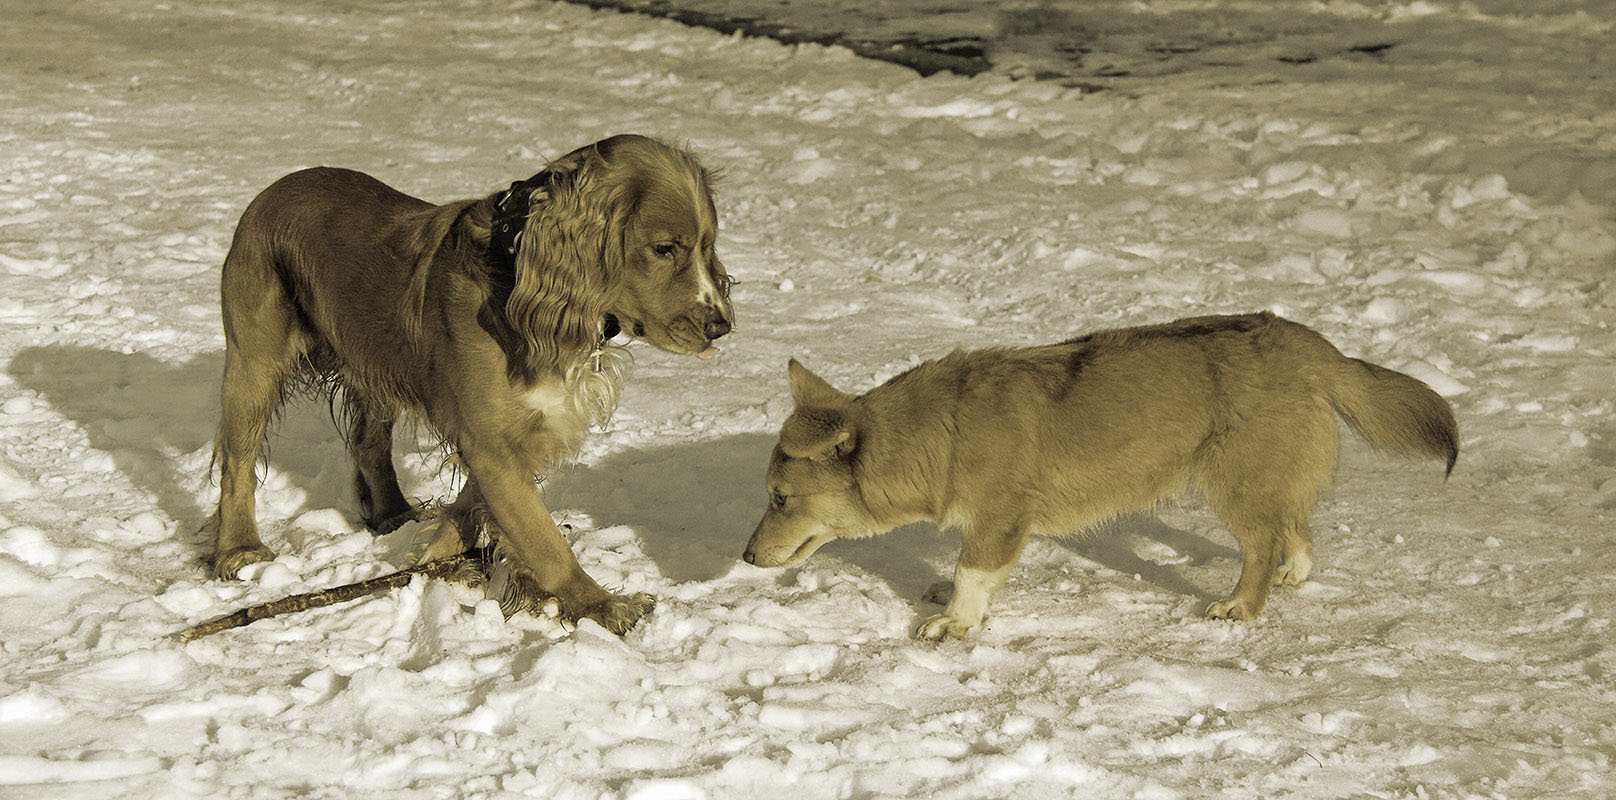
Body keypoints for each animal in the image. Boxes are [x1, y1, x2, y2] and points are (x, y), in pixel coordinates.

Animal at [200, 137, 733, 640]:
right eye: (664, 249)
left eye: (708, 245)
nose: (722, 326)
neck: (519, 276)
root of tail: (272, 190)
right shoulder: (492, 442)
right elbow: (544, 538)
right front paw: (602, 606)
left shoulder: (518, 433)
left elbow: (473, 509)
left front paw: (433, 566)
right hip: (254, 364)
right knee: (237, 462)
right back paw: (239, 549)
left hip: (374, 370)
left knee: (368, 442)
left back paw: (393, 515)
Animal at [743, 313, 1454, 640]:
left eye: (780, 498)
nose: (746, 558)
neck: (938, 435)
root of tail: (1308, 341)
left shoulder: (1001, 519)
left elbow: (974, 574)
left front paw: (954, 624)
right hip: (1262, 478)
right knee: (1295, 529)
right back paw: (1293, 577)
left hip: (1235, 483)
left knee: (1263, 544)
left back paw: (1239, 607)